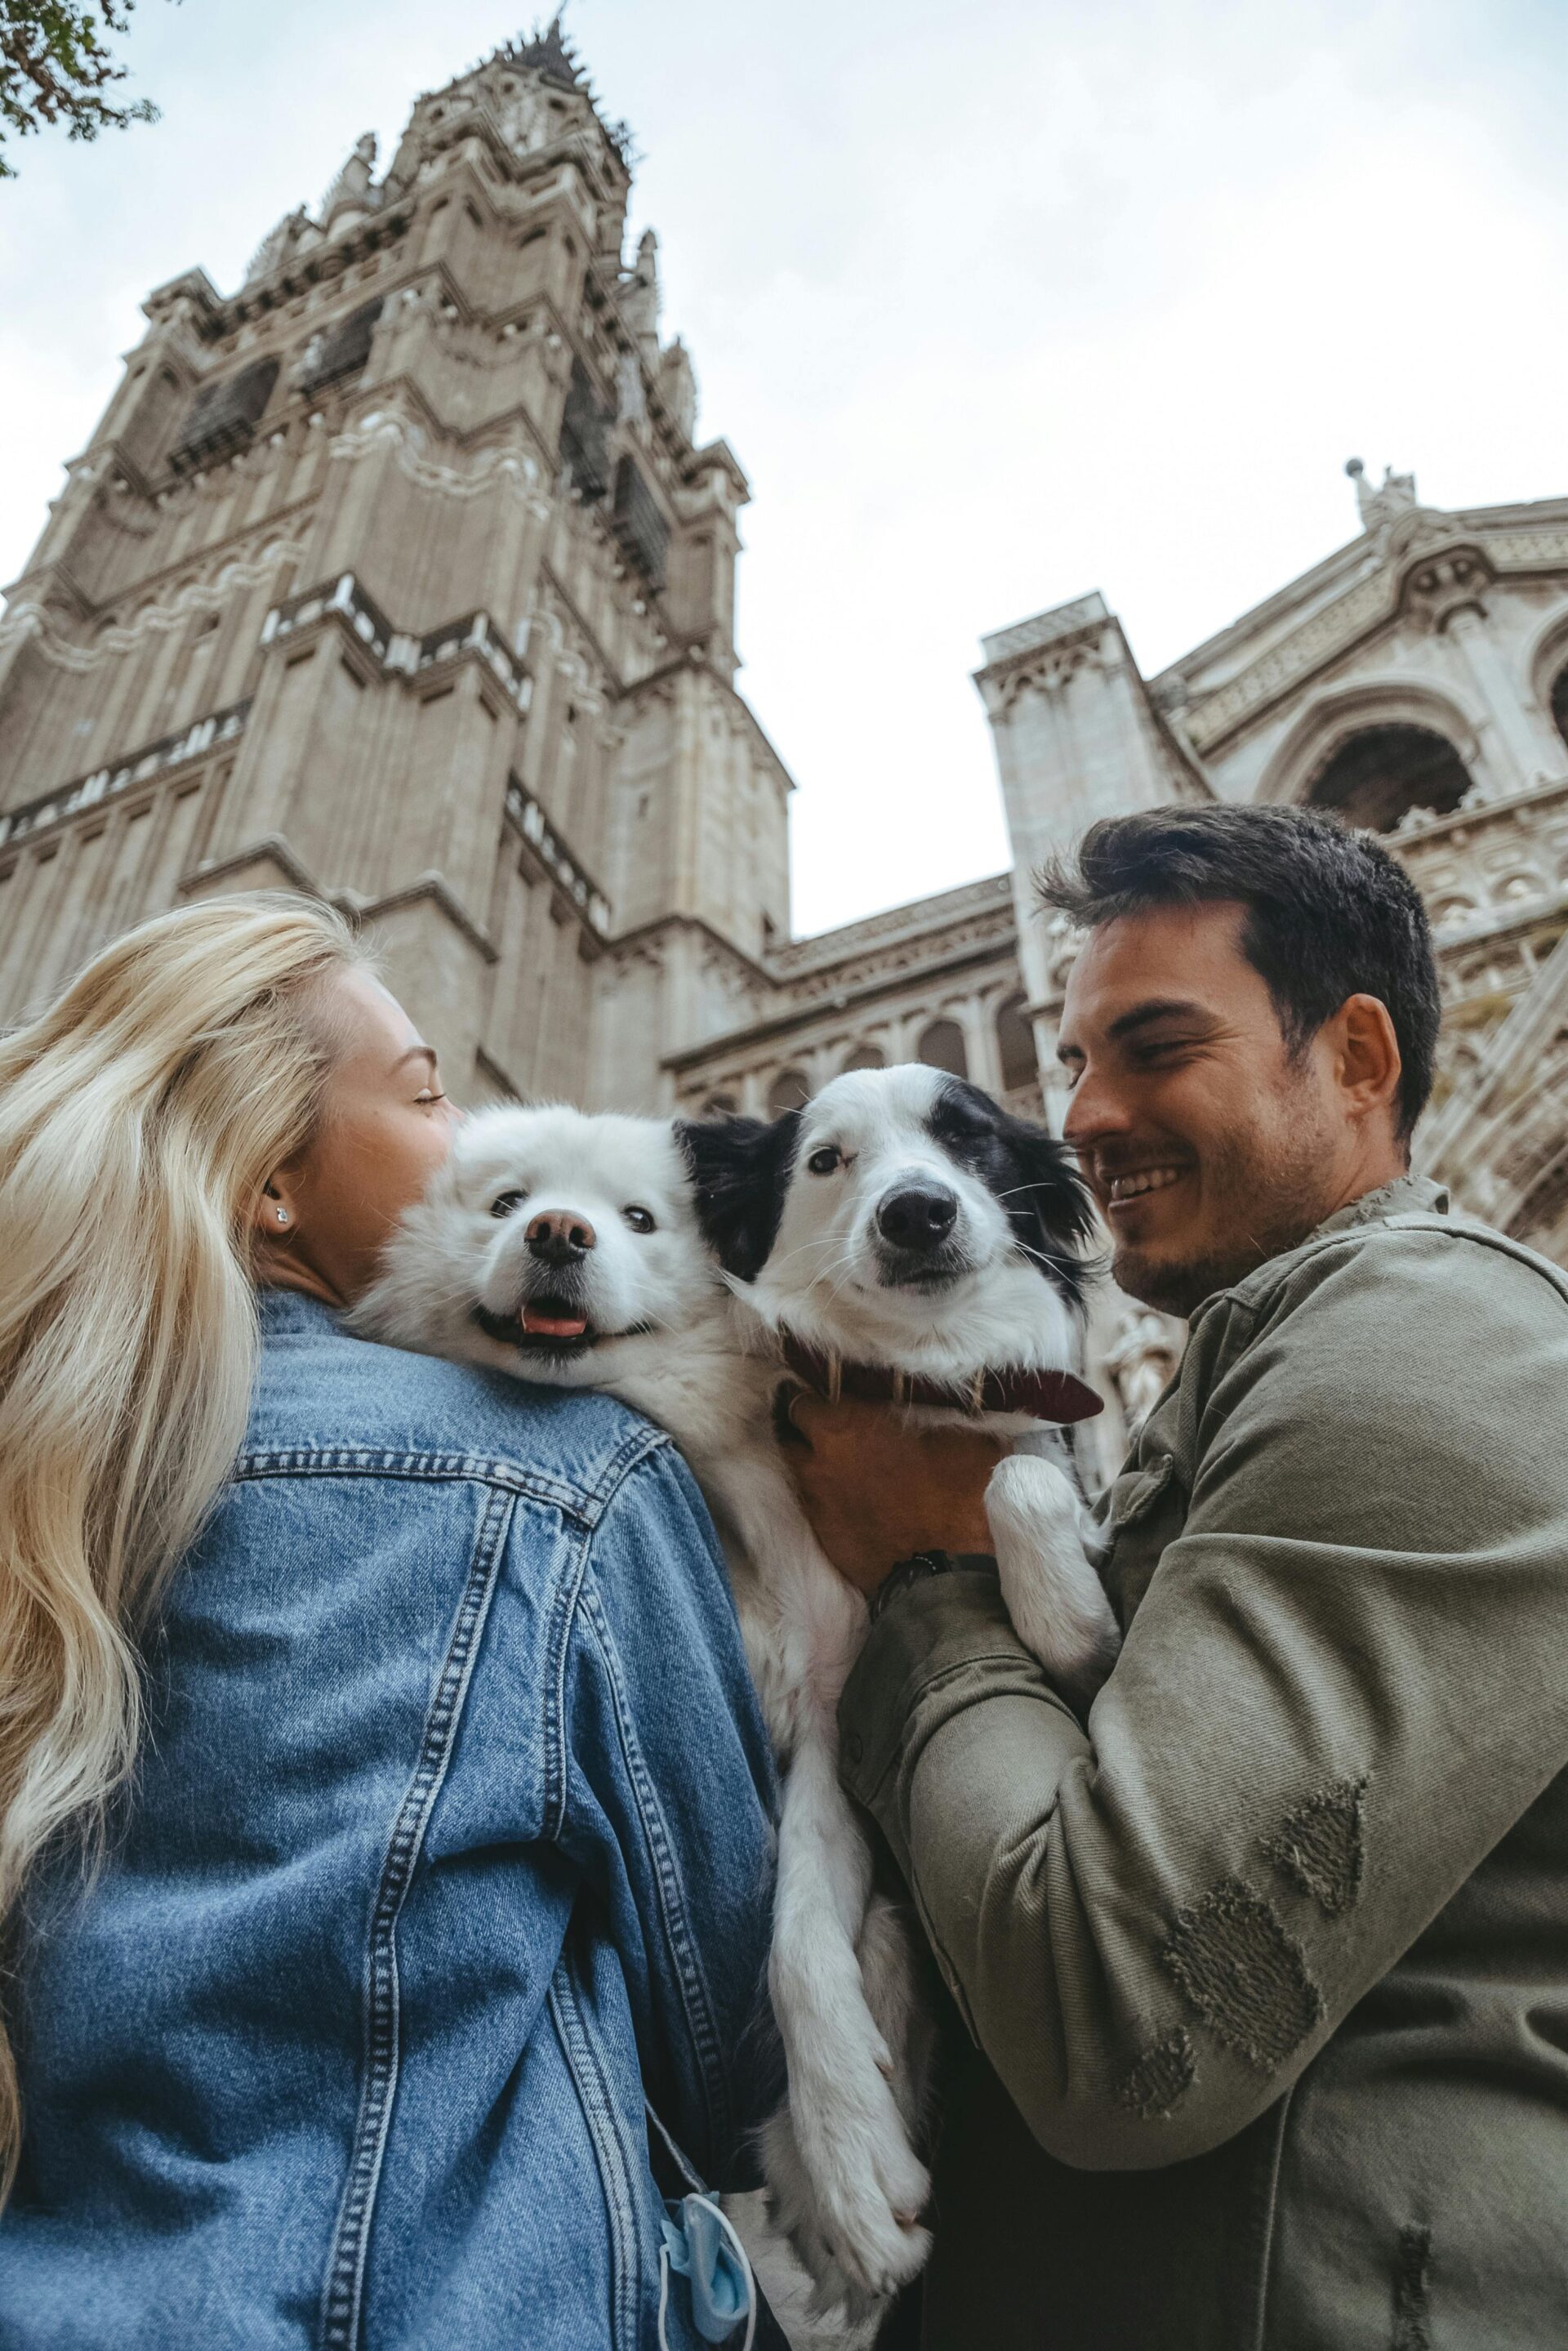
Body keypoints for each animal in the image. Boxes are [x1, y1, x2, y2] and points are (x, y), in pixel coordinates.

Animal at [354, 1077, 1114, 2322]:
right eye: (825, 1159)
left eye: (969, 1138)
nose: (918, 1211)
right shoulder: (823, 1717)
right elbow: (797, 1952)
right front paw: (850, 2162)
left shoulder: (846, 1692)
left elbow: (1021, 1475)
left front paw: (1063, 1613)